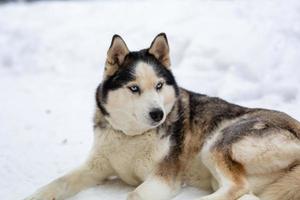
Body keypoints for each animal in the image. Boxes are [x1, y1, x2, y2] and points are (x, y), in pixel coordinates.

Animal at [25, 33, 300, 200]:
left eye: (159, 85)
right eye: (134, 88)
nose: (157, 114)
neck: (131, 136)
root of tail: (296, 126)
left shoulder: (162, 179)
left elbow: (134, 194)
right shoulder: (94, 167)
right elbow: (57, 182)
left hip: (217, 144)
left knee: (237, 187)